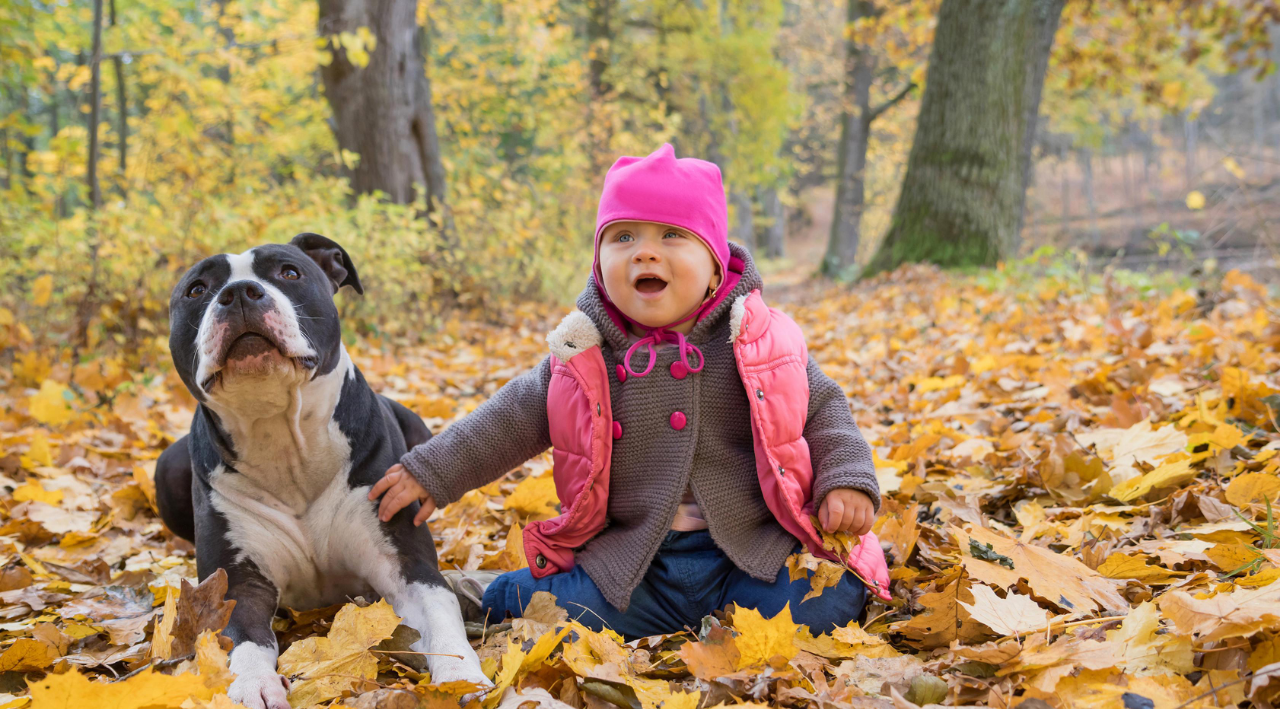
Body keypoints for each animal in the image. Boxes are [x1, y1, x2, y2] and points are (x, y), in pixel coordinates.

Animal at [151, 232, 488, 706]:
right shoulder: (235, 586)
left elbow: (442, 618)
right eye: (197, 289)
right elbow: (240, 638)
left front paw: (463, 678)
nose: (239, 293)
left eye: (289, 272)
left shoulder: (407, 566)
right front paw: (251, 684)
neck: (282, 440)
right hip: (167, 468)